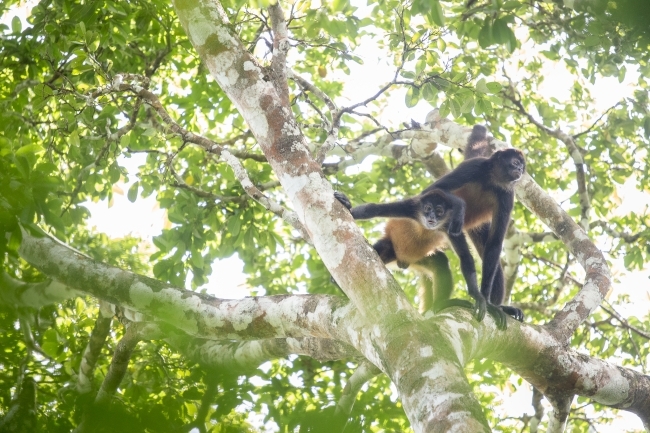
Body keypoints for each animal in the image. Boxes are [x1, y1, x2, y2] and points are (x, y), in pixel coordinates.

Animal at [336, 126, 524, 330]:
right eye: (515, 163)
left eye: (522, 166)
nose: (520, 170)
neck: (491, 181)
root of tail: (402, 259)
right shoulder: (474, 167)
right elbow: (433, 189)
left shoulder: (506, 194)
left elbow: (494, 244)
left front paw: (487, 303)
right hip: (391, 248)